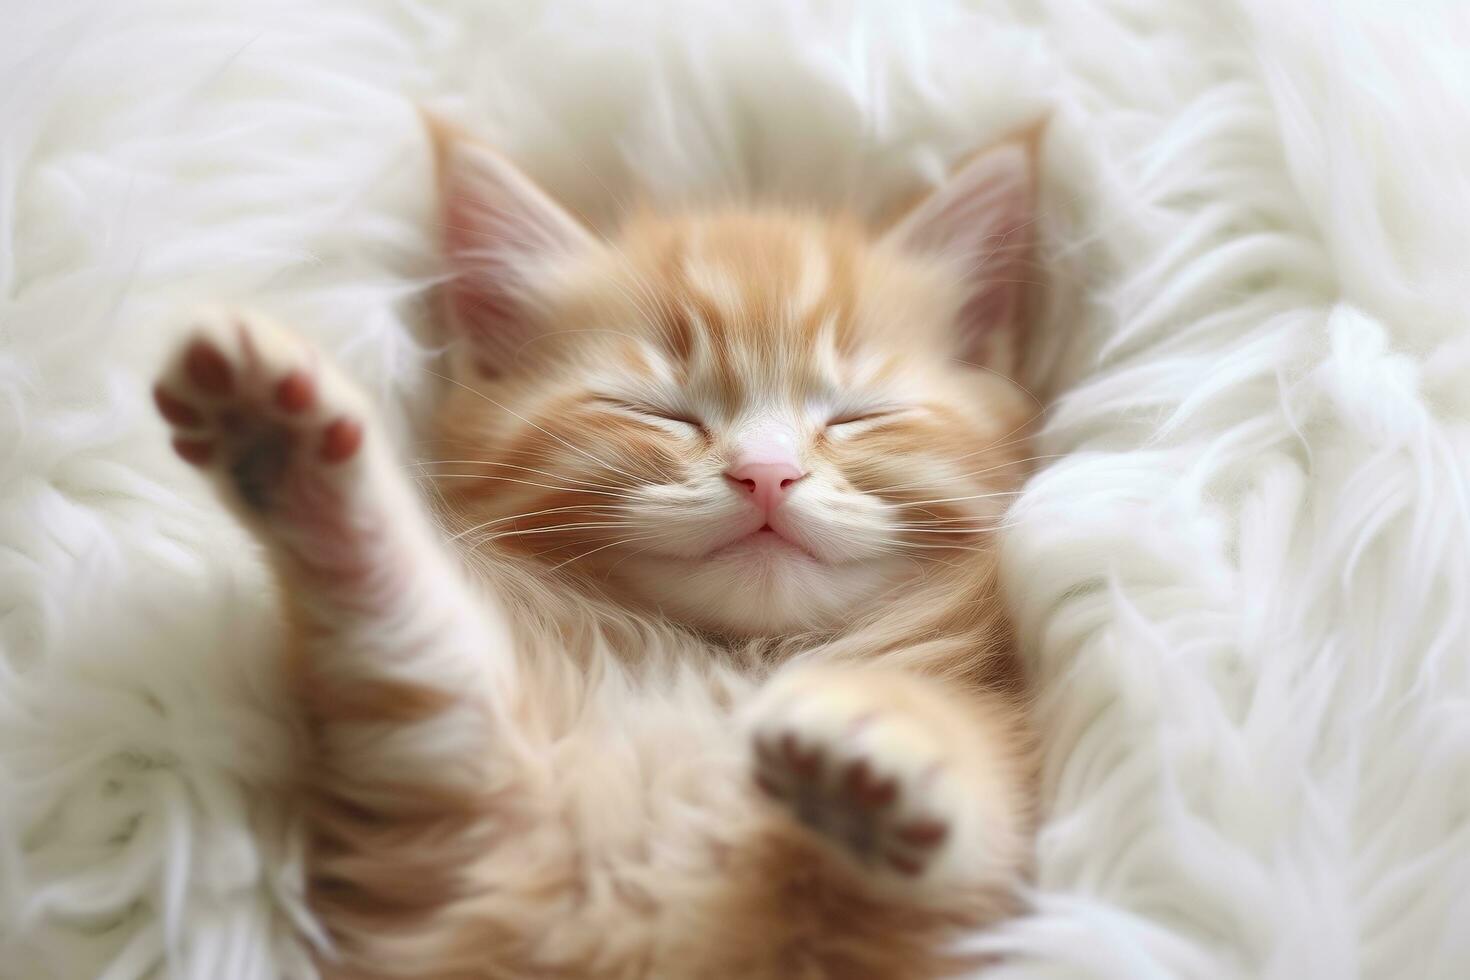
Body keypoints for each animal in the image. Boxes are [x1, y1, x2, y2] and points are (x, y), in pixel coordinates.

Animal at [149, 116, 1046, 980]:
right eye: (660, 411)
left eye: (859, 414)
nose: (766, 474)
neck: (730, 664)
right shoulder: (451, 808)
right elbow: (401, 629)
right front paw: (282, 452)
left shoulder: (969, 911)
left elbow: (982, 810)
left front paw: (881, 746)